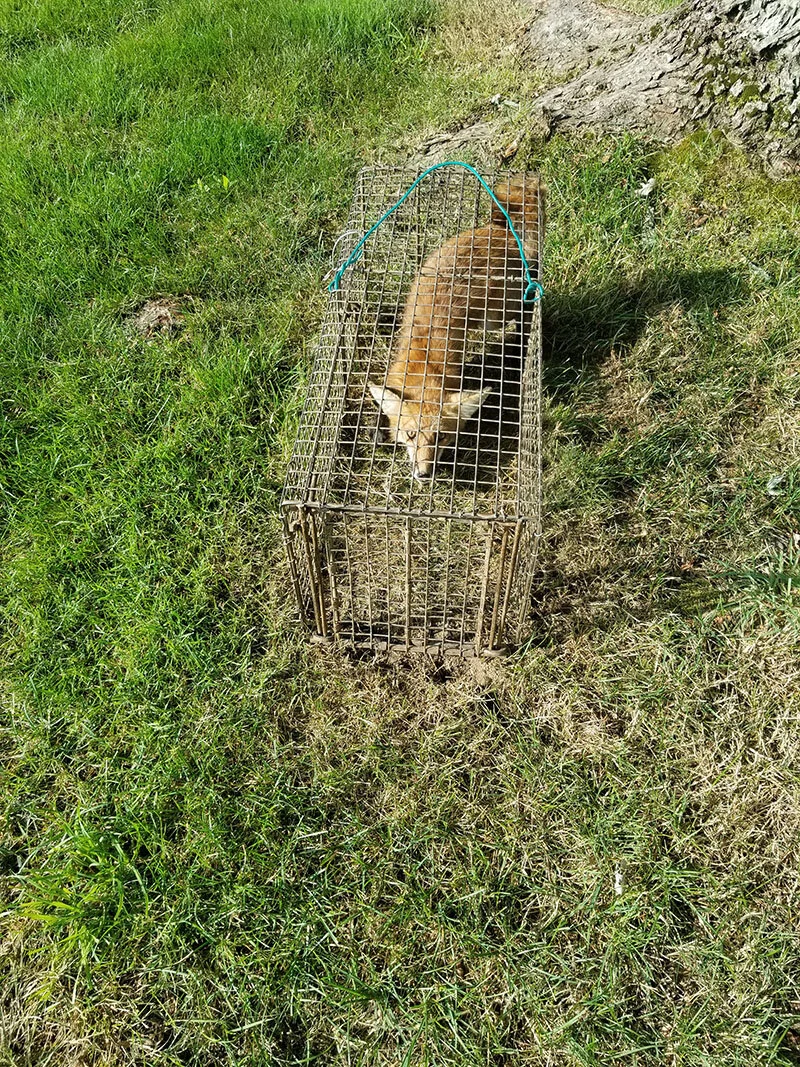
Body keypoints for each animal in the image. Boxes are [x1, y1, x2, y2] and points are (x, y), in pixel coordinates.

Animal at [369, 174, 542, 481]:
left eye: (441, 437)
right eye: (411, 435)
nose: (424, 474)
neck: (421, 362)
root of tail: (499, 232)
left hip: (494, 317)